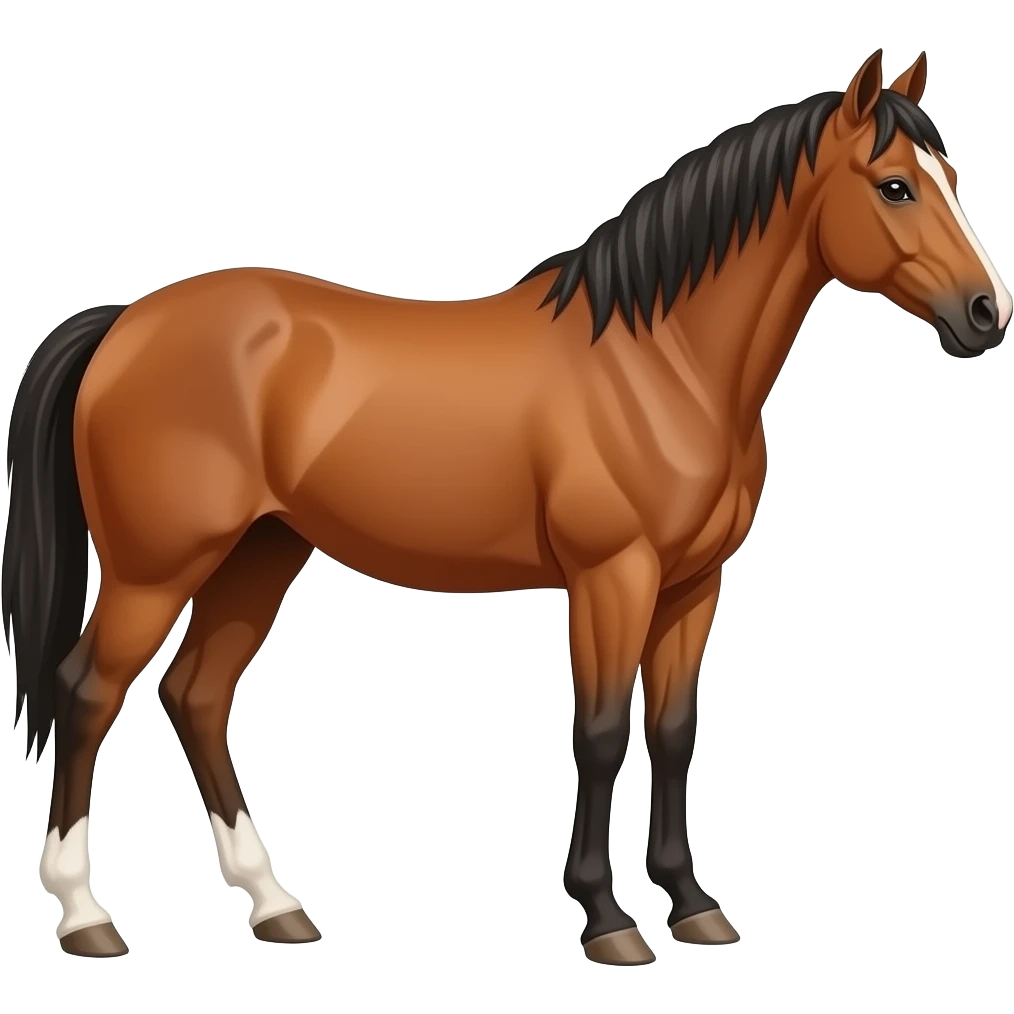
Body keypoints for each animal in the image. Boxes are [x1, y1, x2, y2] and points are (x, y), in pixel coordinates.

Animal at [3, 47, 1009, 964]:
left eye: (951, 178)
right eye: (894, 187)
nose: (985, 314)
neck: (663, 360)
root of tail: (126, 322)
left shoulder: (694, 585)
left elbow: (675, 731)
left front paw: (693, 906)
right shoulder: (612, 578)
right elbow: (599, 734)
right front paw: (608, 920)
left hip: (262, 551)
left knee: (197, 695)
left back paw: (276, 905)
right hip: (157, 567)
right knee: (87, 694)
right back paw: (87, 918)